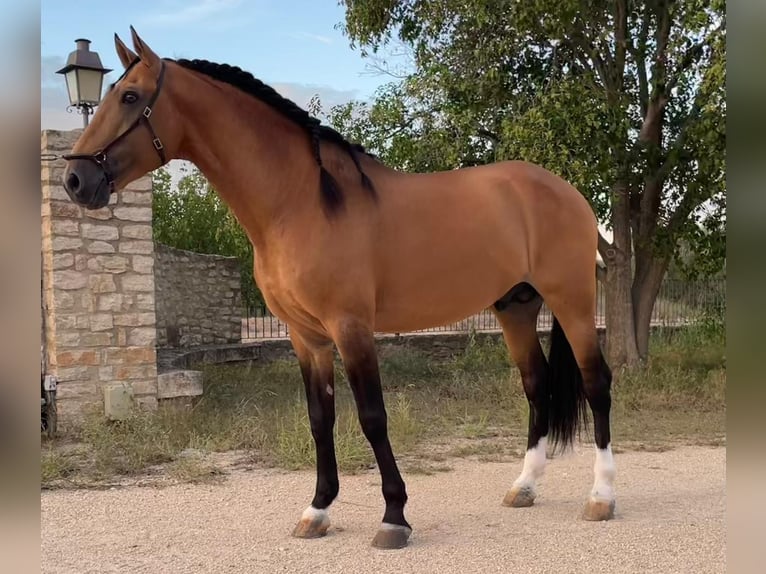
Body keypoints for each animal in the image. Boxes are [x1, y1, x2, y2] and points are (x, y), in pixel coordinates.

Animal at [63, 29, 620, 552]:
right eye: (110, 94)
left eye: (130, 96)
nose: (75, 179)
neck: (302, 202)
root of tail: (567, 191)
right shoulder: (305, 336)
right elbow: (320, 418)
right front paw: (317, 510)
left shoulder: (351, 328)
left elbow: (372, 417)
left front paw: (394, 517)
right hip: (515, 307)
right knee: (537, 385)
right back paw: (524, 487)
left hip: (571, 301)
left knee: (597, 384)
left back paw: (601, 497)